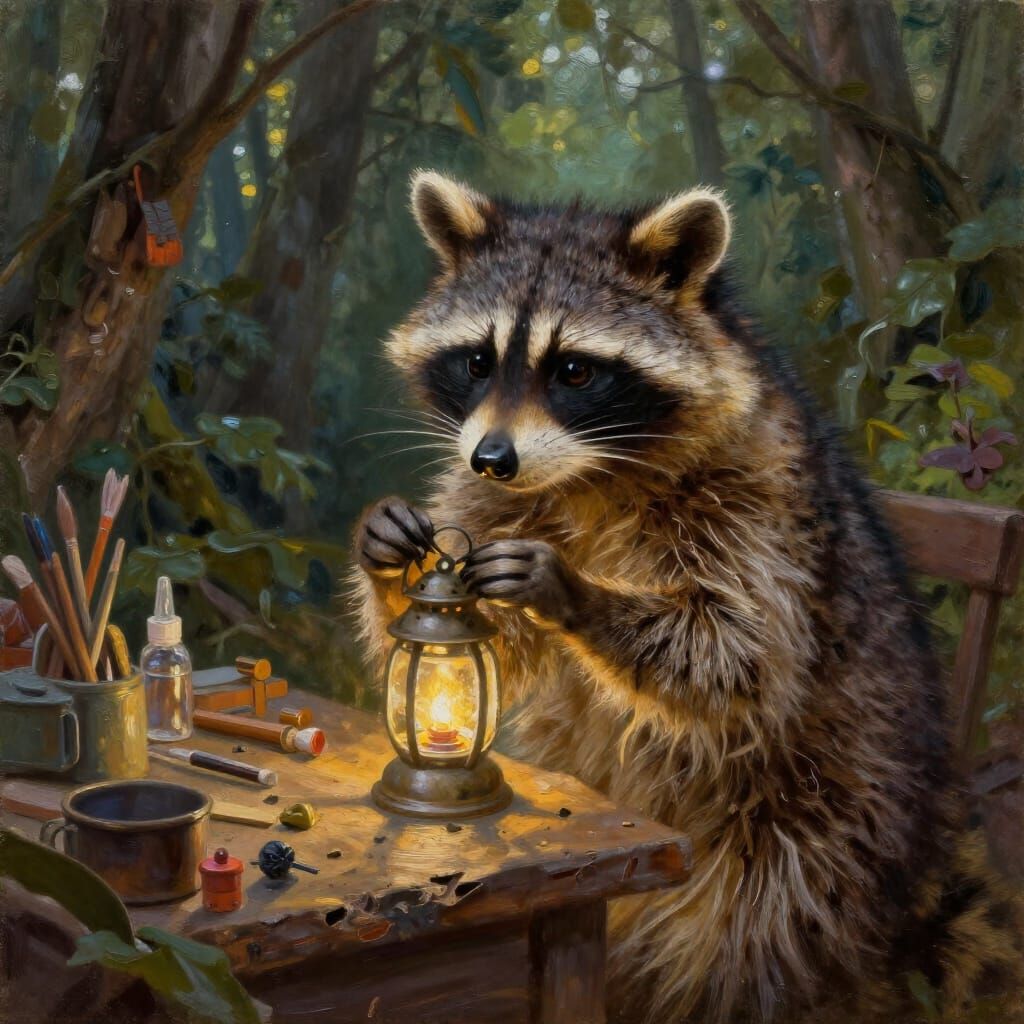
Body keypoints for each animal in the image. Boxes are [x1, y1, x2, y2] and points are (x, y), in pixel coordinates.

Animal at [352, 171, 1022, 1023]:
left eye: (575, 370)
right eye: (476, 361)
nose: (494, 457)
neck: (588, 475)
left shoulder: (760, 509)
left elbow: (739, 656)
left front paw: (574, 591)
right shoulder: (491, 499)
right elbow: (493, 639)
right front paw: (388, 557)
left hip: (815, 837)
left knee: (745, 940)